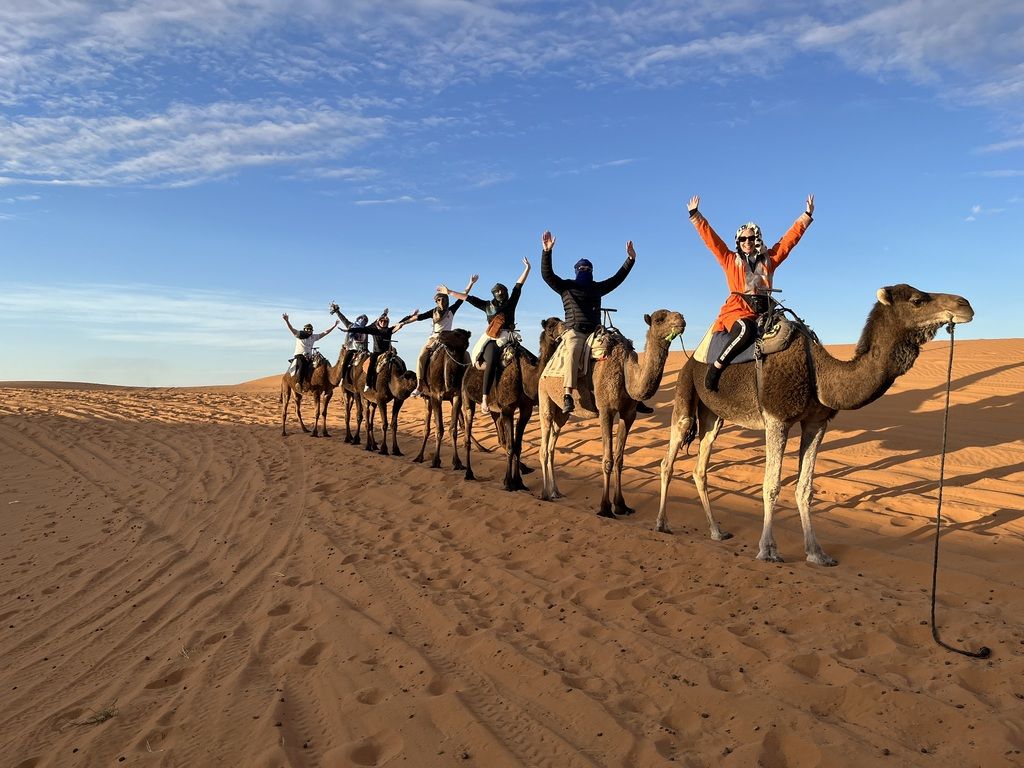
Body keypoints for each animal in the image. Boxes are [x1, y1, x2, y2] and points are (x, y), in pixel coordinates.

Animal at [413, 329, 473, 469]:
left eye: (458, 334)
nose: (441, 334)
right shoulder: (435, 396)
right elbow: (439, 428)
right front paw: (435, 460)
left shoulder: (456, 395)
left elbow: (453, 429)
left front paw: (457, 462)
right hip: (427, 397)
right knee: (427, 428)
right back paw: (419, 456)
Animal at [462, 319, 564, 490]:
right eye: (550, 326)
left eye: (561, 320)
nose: (565, 328)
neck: (526, 375)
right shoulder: (508, 408)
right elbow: (511, 446)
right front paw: (508, 483)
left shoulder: (526, 409)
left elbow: (517, 446)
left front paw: (519, 482)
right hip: (467, 398)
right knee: (468, 435)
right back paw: (468, 473)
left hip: (494, 410)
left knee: (500, 438)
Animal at [537, 309, 686, 516]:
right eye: (659, 319)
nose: (681, 320)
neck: (626, 371)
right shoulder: (605, 410)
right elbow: (607, 460)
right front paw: (605, 507)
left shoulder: (628, 414)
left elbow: (619, 459)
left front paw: (621, 505)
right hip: (544, 394)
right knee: (544, 444)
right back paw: (544, 493)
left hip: (562, 414)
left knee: (552, 445)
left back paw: (555, 491)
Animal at [656, 284, 974, 566]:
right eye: (917, 300)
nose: (965, 304)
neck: (819, 373)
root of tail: (691, 358)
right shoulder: (777, 419)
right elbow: (771, 484)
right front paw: (768, 550)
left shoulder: (816, 422)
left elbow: (805, 487)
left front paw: (817, 553)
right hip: (685, 396)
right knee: (669, 459)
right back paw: (662, 524)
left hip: (713, 417)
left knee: (700, 468)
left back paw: (717, 531)